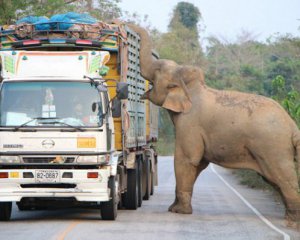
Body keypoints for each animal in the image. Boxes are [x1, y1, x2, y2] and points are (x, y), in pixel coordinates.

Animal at [127, 23, 300, 224]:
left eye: (156, 72)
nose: (122, 24)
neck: (191, 87)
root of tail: (293, 127)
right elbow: (199, 163)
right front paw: (174, 208)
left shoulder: (190, 123)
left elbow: (187, 159)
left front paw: (178, 212)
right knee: (274, 180)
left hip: (273, 146)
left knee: (283, 178)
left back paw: (292, 220)